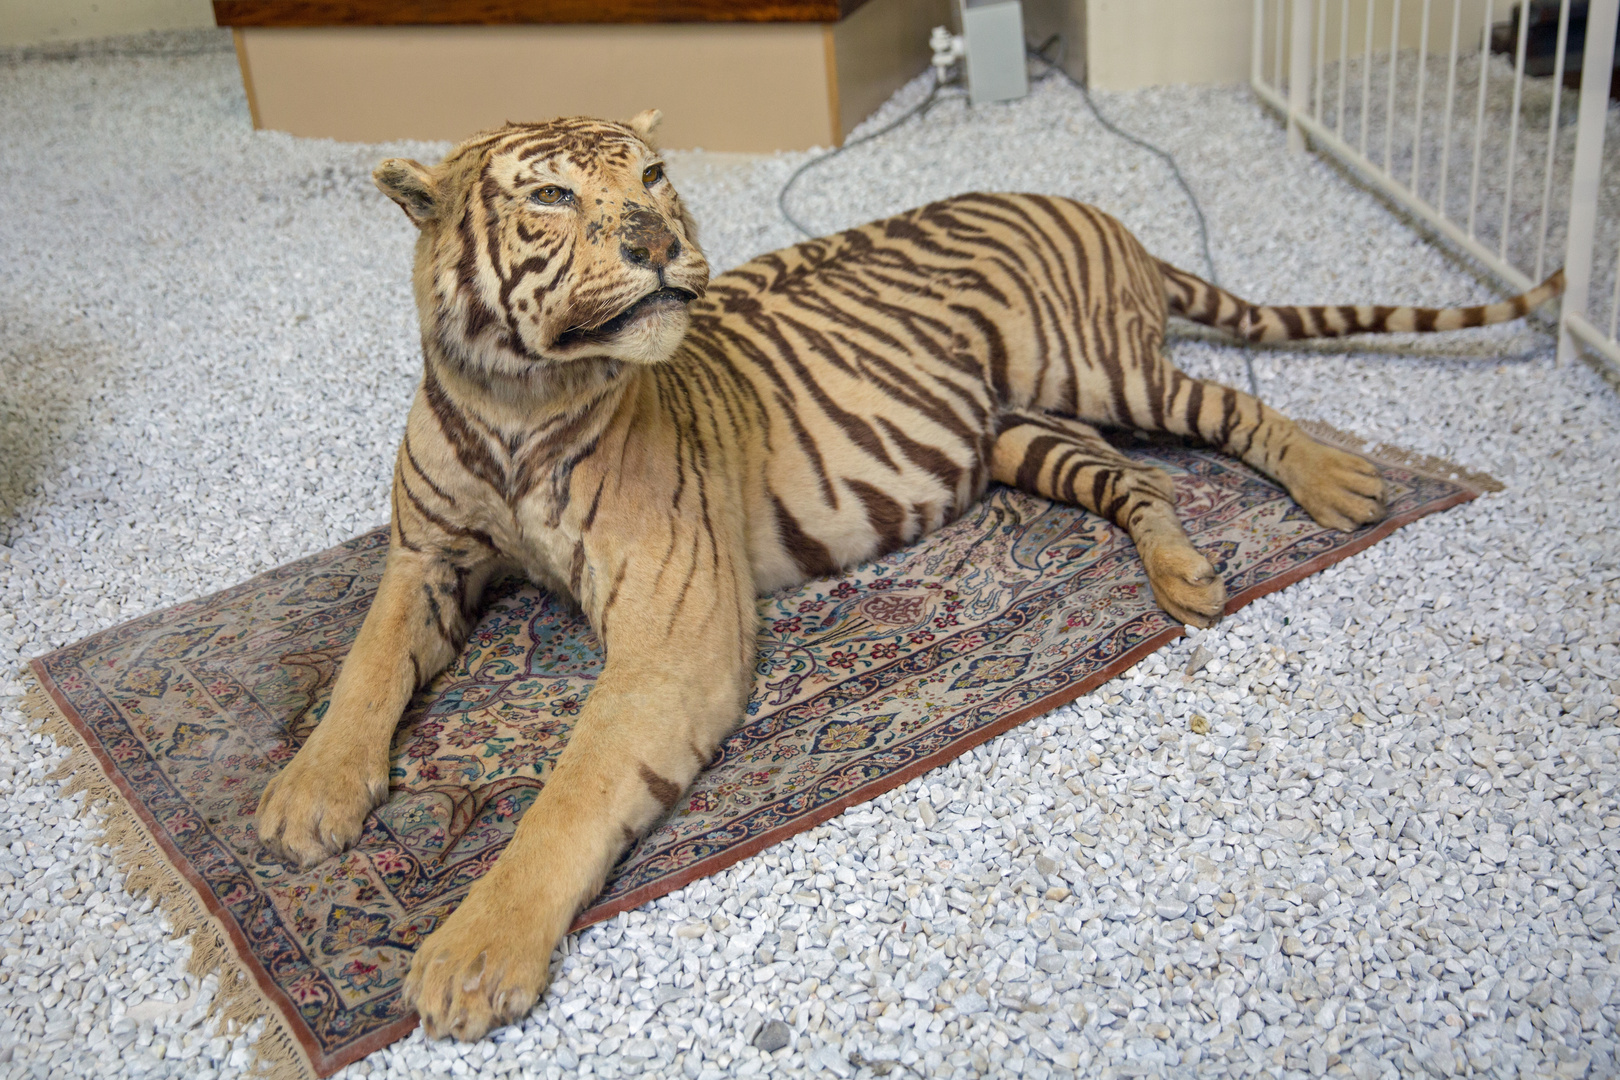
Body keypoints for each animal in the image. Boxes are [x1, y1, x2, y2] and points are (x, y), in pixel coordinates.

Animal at [255, 107, 1568, 1036]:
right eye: (551, 194)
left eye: (655, 176)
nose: (660, 242)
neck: (514, 403)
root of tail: (1107, 213)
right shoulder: (426, 557)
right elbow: (364, 669)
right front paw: (308, 799)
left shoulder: (678, 627)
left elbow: (571, 790)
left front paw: (473, 955)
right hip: (1021, 434)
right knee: (1134, 483)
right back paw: (1186, 576)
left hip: (1100, 371)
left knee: (1233, 410)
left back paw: (1341, 485)